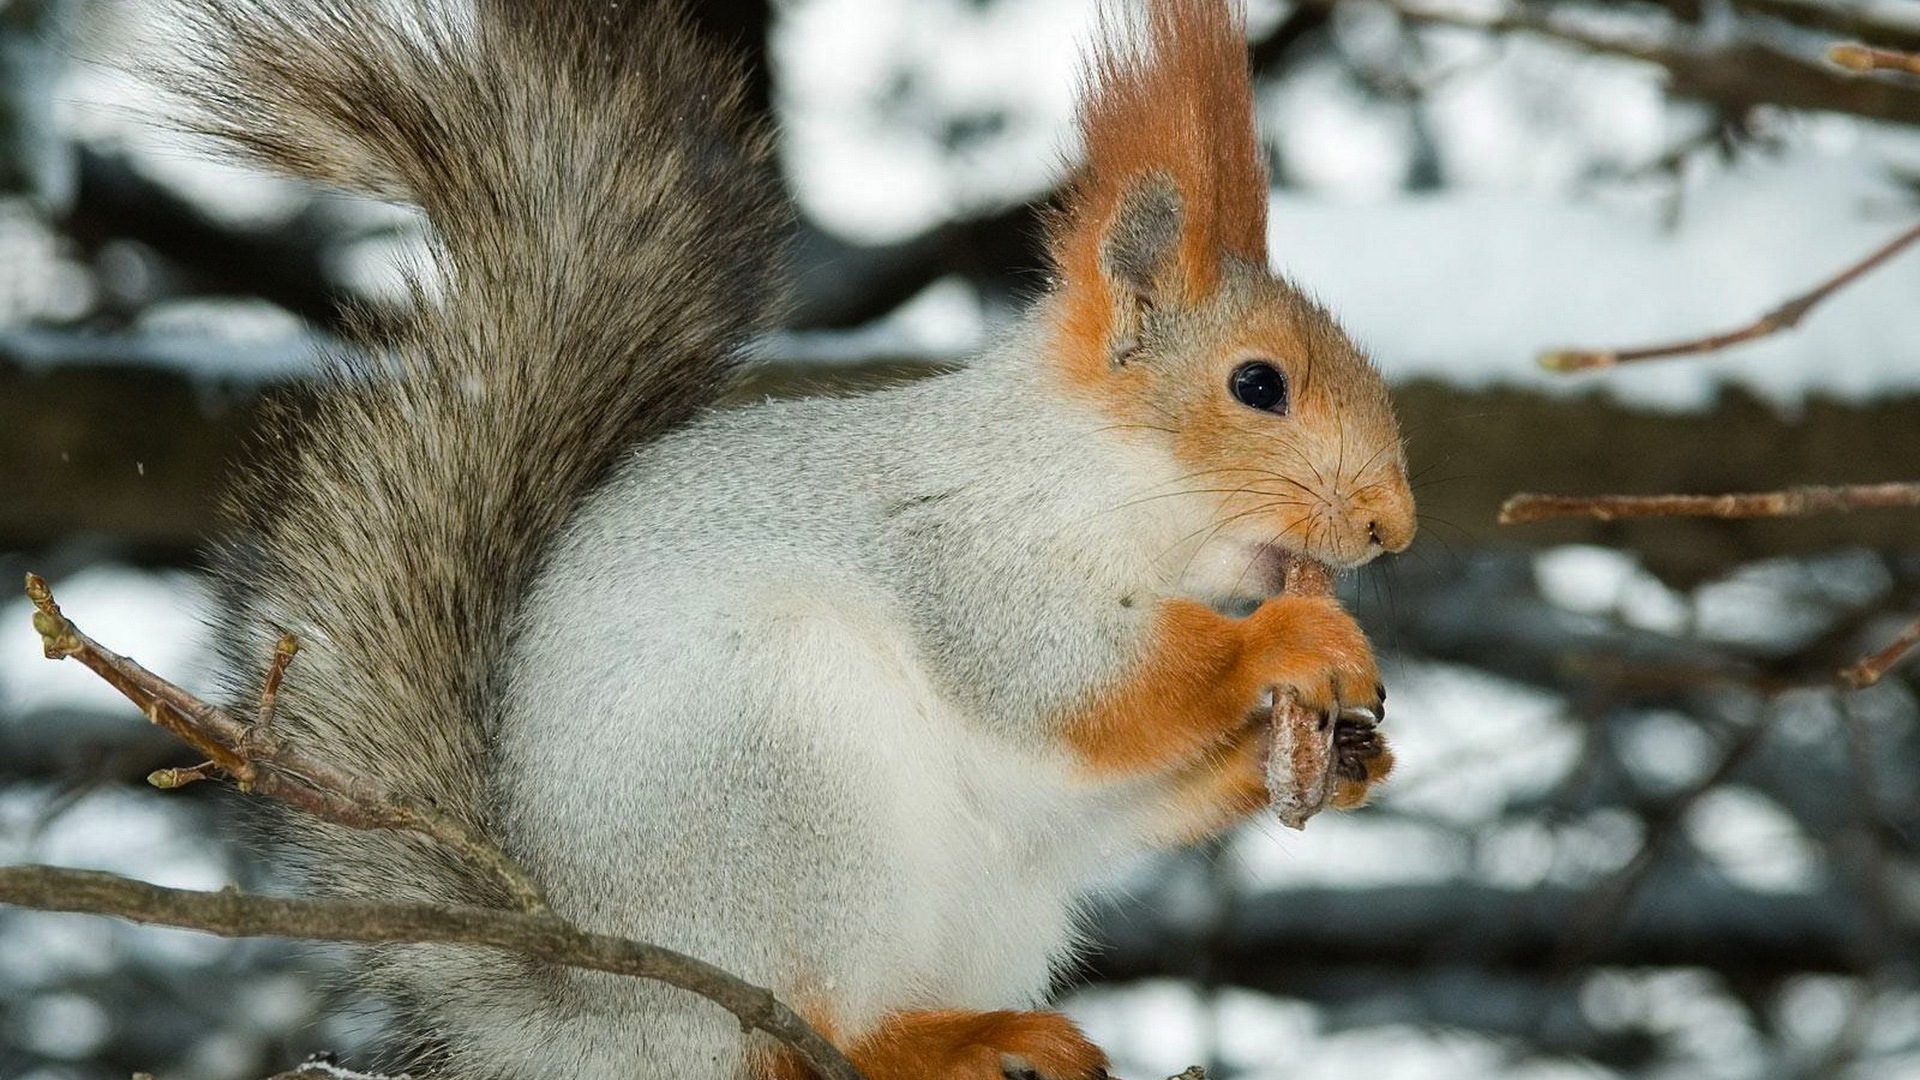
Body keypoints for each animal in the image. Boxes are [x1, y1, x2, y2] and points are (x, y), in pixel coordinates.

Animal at [172, 2, 1420, 1076]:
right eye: (1256, 385)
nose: (1392, 526)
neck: (1098, 476)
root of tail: (599, 1018)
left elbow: (1110, 792)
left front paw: (1334, 755)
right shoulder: (968, 558)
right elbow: (1072, 681)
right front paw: (1291, 642)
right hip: (782, 775)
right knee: (793, 1040)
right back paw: (940, 1044)